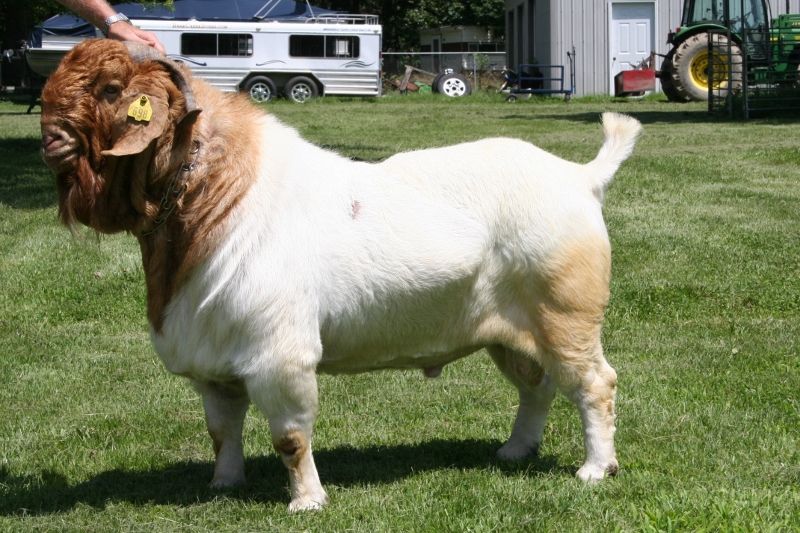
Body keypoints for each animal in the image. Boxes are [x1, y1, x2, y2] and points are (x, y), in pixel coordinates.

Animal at [42, 39, 644, 510]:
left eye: (111, 90)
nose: (50, 138)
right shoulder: (213, 360)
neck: (222, 196)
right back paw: (516, 450)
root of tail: (580, 177)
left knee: (594, 384)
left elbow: (290, 438)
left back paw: (596, 468)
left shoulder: (279, 355)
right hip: (510, 330)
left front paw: (307, 501)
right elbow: (221, 430)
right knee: (537, 387)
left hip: (564, 314)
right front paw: (224, 485)